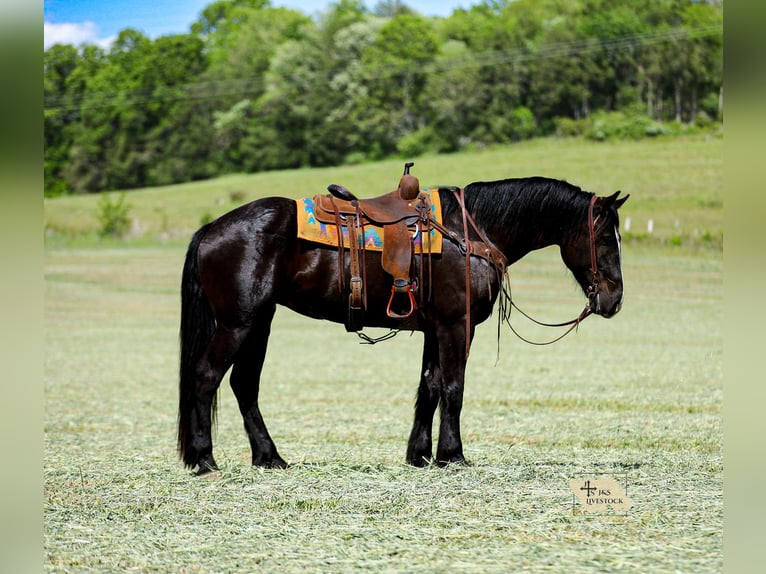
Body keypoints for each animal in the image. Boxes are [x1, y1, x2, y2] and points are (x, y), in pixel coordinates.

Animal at [177, 175, 628, 475]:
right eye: (607, 237)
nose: (614, 299)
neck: (469, 232)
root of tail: (210, 229)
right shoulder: (456, 325)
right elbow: (453, 387)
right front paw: (453, 454)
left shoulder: (435, 327)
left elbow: (429, 386)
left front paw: (421, 454)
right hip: (238, 323)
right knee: (205, 377)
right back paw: (205, 458)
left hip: (260, 322)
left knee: (243, 385)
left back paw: (269, 457)